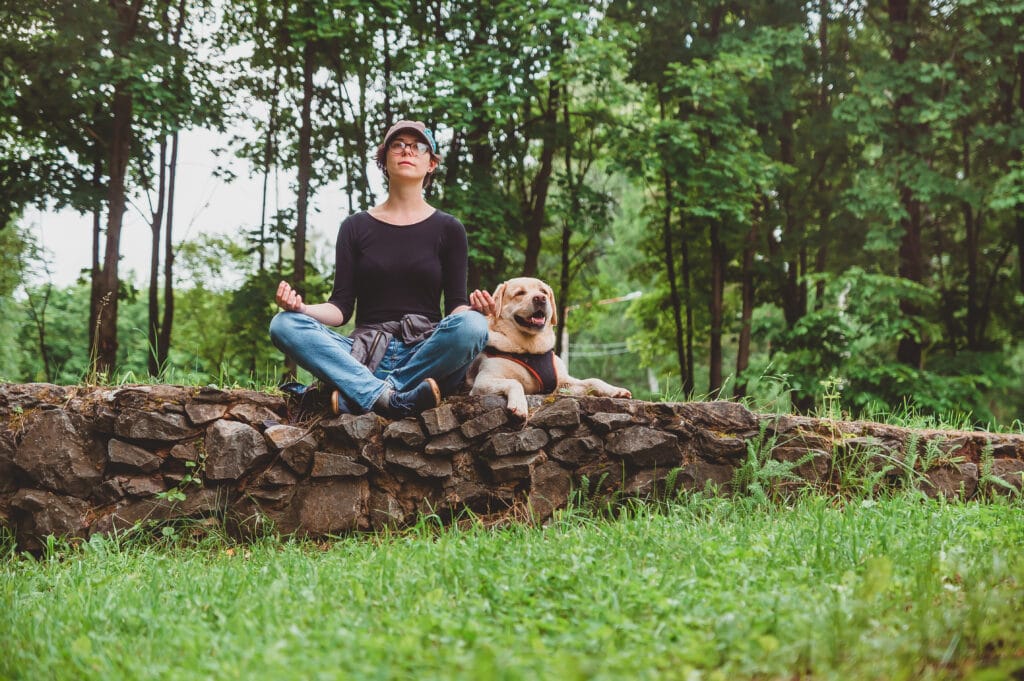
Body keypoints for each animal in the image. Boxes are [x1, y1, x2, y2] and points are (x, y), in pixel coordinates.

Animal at [466, 274, 626, 413]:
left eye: (543, 291)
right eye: (520, 293)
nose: (540, 298)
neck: (530, 350)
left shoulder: (562, 382)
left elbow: (593, 380)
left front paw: (616, 390)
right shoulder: (483, 381)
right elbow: (515, 382)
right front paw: (519, 405)